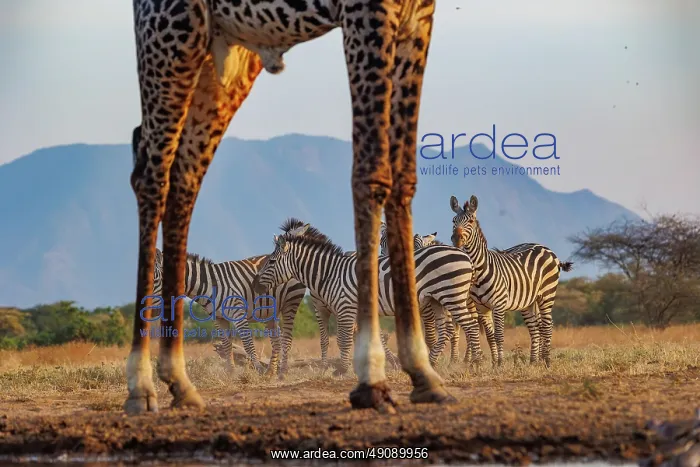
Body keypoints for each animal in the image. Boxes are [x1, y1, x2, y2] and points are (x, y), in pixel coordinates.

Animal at [126, 0, 455, 415]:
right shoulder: (365, 12)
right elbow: (372, 171)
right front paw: (372, 380)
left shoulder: (419, 16)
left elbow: (404, 174)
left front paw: (423, 374)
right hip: (170, 36)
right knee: (152, 175)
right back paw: (142, 386)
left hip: (224, 56)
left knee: (183, 176)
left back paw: (181, 383)